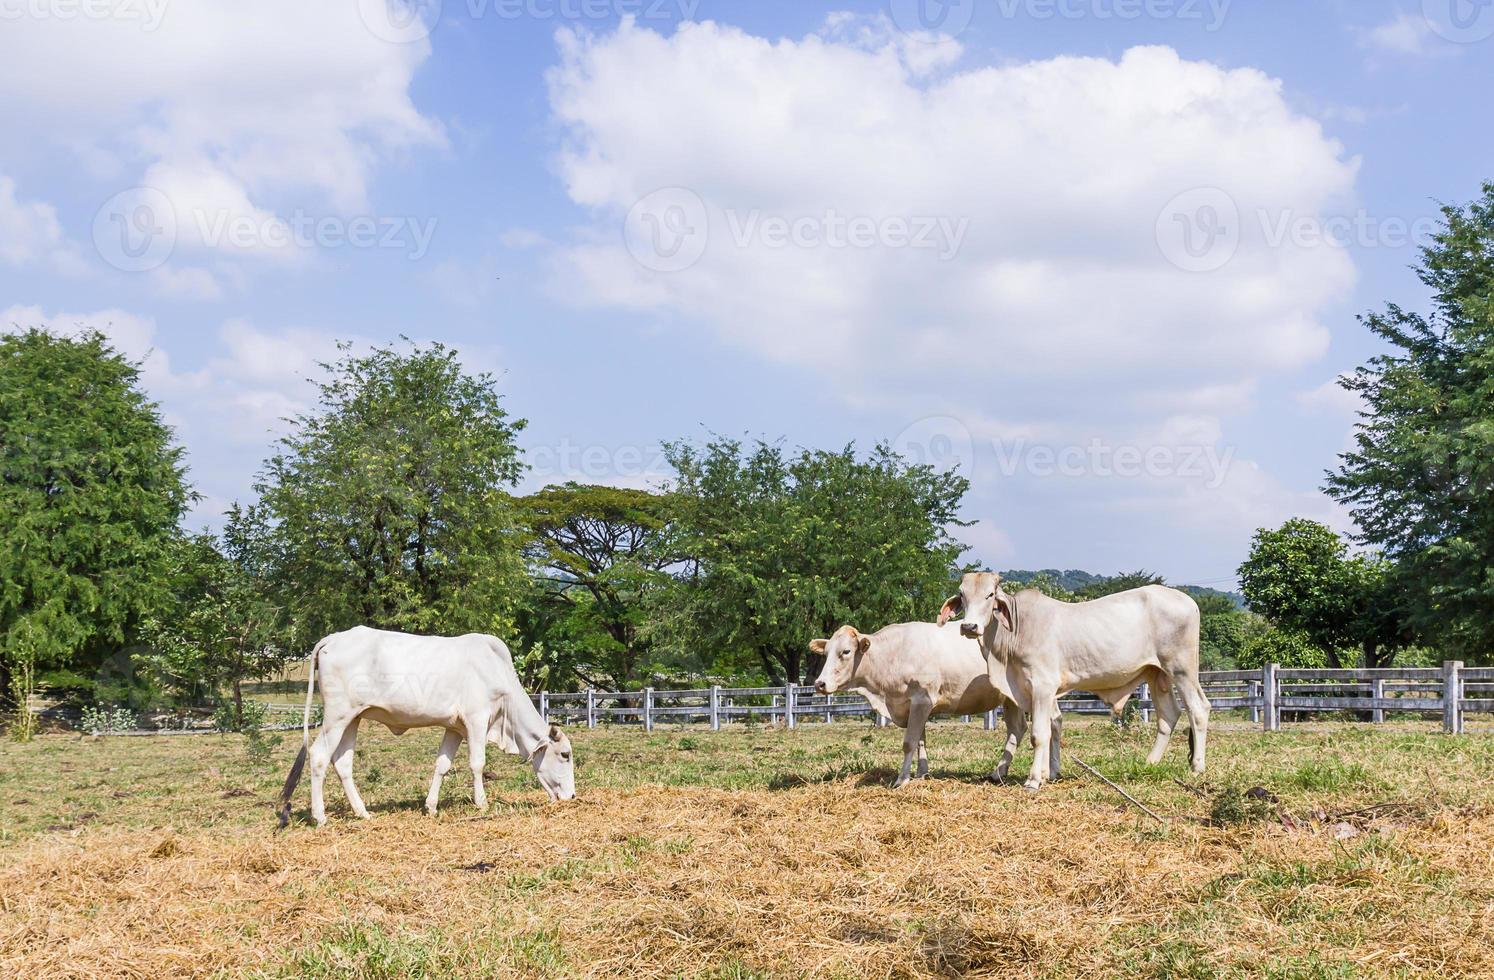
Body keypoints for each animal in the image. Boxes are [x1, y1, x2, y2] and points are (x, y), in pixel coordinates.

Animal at [277, 627, 573, 824]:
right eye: (565, 754)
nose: (571, 796)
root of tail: (333, 638)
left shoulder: (455, 728)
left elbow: (442, 765)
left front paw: (431, 807)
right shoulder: (477, 720)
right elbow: (477, 764)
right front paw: (482, 803)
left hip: (353, 718)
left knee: (342, 762)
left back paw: (362, 812)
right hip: (337, 716)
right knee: (318, 756)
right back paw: (320, 816)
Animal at [806, 621, 1063, 788]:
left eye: (846, 651)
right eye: (826, 652)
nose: (820, 683)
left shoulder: (922, 699)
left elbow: (909, 742)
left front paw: (902, 779)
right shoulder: (912, 705)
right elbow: (921, 739)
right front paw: (921, 773)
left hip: (1041, 693)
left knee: (1053, 723)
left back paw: (1048, 772)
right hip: (1011, 699)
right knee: (1017, 728)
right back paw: (999, 772)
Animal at [938, 570, 1207, 794]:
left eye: (990, 594)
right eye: (962, 595)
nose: (969, 626)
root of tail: (1189, 602)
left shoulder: (1042, 686)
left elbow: (1039, 734)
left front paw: (1034, 780)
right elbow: (1049, 727)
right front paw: (1046, 773)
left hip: (1181, 669)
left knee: (1199, 710)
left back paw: (1197, 768)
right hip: (1156, 673)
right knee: (1169, 715)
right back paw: (1149, 763)